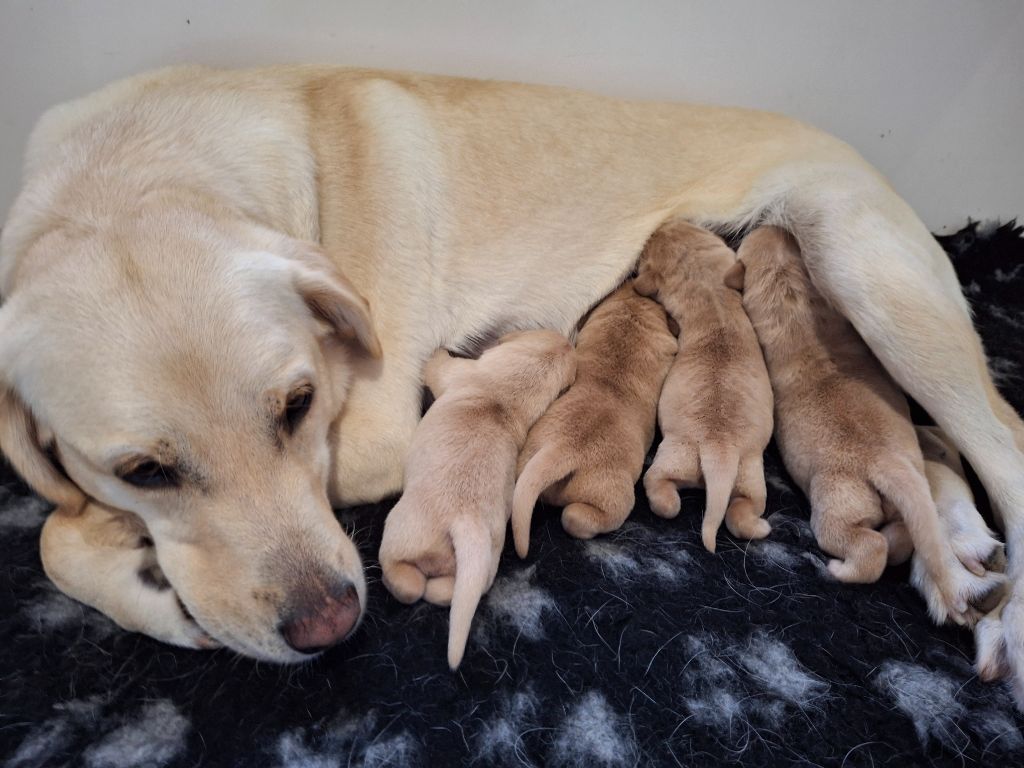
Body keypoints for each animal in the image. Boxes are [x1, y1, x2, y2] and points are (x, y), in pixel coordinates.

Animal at [380, 327, 581, 671]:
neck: (503, 396)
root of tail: (466, 524)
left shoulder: (458, 373)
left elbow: (438, 366)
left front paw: (436, 351)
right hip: (483, 567)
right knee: (454, 589)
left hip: (400, 531)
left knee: (406, 579)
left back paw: (403, 582)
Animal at [634, 222, 770, 552]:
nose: (661, 225)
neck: (712, 295)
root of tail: (719, 452)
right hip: (750, 475)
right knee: (742, 510)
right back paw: (759, 527)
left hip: (674, 456)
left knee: (658, 484)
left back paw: (666, 501)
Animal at [737, 224, 1007, 614]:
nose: (776, 225)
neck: (794, 303)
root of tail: (888, 464)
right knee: (906, 531)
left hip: (837, 508)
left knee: (869, 545)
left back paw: (839, 569)